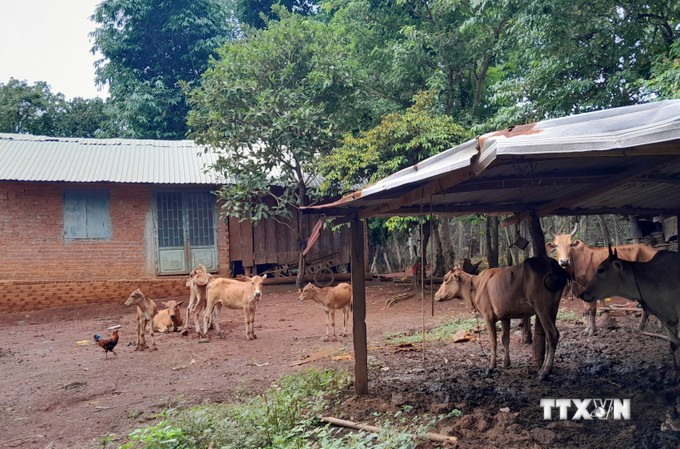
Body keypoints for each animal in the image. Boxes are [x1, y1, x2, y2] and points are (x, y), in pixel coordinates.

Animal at [436, 256, 568, 378]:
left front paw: (491, 366)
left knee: (552, 334)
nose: (436, 295)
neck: (474, 287)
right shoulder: (505, 316)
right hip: (553, 307)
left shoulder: (488, 316)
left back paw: (545, 371)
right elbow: (505, 339)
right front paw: (506, 363)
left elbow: (493, 341)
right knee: (549, 337)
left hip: (541, 306)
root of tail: (555, 265)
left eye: (445, 279)